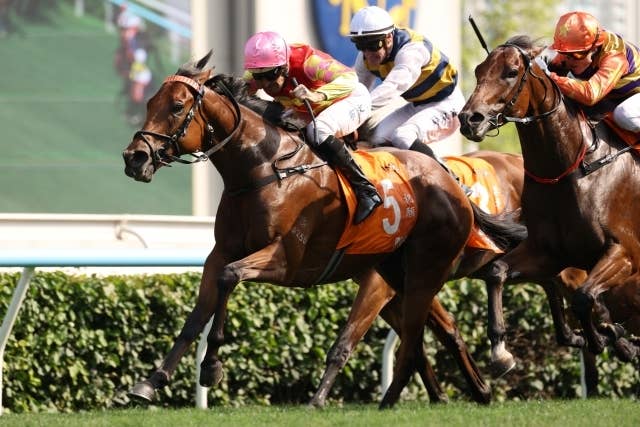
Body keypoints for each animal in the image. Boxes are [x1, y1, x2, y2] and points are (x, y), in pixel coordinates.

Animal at [121, 51, 526, 408]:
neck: (264, 168)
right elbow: (197, 315)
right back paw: (470, 388)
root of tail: (450, 183)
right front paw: (151, 382)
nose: (134, 158)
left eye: (177, 107)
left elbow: (230, 277)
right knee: (435, 332)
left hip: (423, 269)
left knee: (436, 320)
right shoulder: (220, 253)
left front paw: (212, 366)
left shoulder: (287, 260)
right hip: (400, 274)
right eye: (150, 102)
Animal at [458, 35, 640, 375]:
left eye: (511, 72)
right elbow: (496, 272)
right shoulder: (549, 253)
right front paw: (500, 352)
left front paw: (606, 337)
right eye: (477, 71)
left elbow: (584, 297)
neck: (569, 170)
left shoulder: (625, 252)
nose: (469, 119)